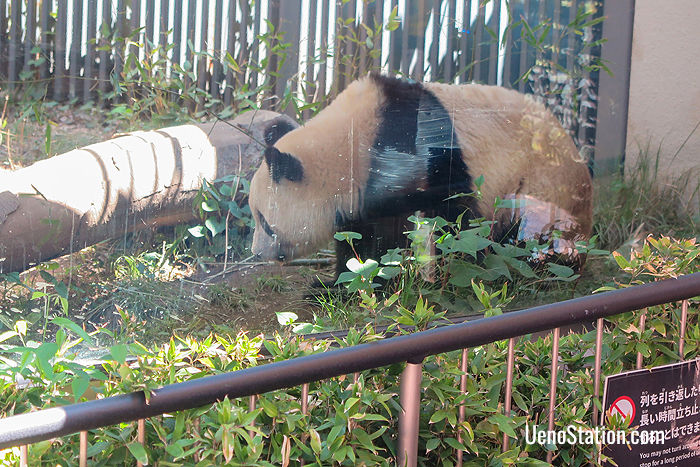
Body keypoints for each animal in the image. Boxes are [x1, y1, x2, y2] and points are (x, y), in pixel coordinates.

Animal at [249, 74, 592, 274]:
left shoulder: (419, 156)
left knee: (530, 232)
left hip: (543, 187)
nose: (256, 253)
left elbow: (454, 220)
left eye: (264, 221)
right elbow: (362, 235)